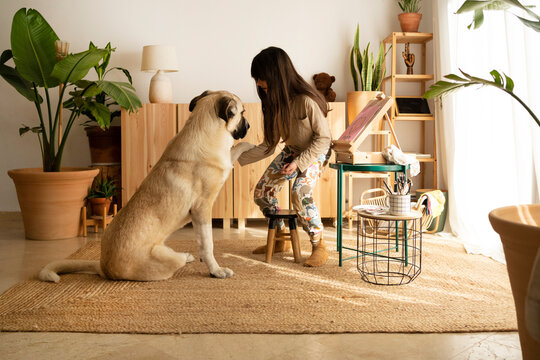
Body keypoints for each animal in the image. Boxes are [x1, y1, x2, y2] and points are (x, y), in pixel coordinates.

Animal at [39, 89, 254, 282]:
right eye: (242, 113)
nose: (250, 125)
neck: (203, 130)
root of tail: (103, 267)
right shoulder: (202, 209)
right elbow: (208, 244)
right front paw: (216, 270)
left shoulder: (224, 164)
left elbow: (237, 150)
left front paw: (255, 145)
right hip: (166, 257)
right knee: (178, 260)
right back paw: (185, 258)